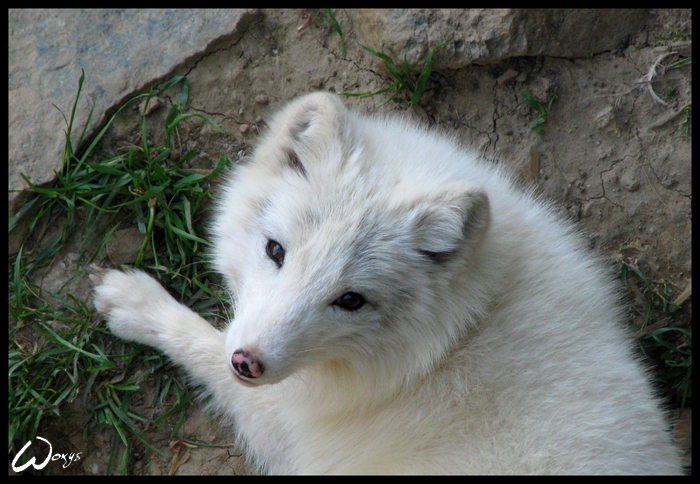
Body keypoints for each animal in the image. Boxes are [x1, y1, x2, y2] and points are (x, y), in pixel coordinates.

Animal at [93, 92, 680, 474]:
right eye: (276, 251)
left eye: (351, 300)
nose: (249, 363)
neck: (464, 329)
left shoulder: (292, 430)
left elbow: (203, 346)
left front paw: (136, 303)